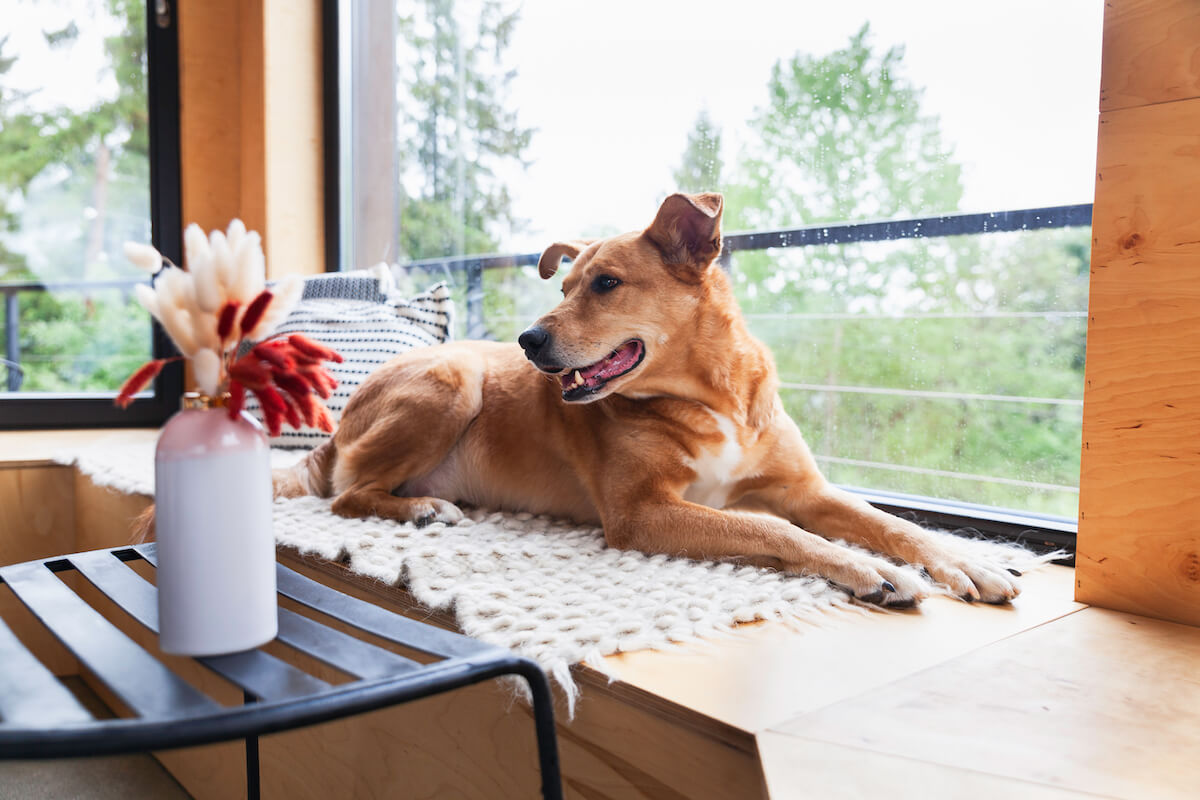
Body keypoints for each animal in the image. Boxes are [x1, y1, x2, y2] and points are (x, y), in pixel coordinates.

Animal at [276, 191, 1017, 606]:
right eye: (564, 286)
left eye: (605, 283)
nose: (527, 340)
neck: (711, 397)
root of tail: (333, 434)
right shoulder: (642, 512)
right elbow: (775, 530)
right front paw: (865, 569)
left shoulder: (806, 490)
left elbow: (897, 526)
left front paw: (969, 563)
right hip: (452, 380)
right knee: (345, 494)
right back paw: (421, 507)